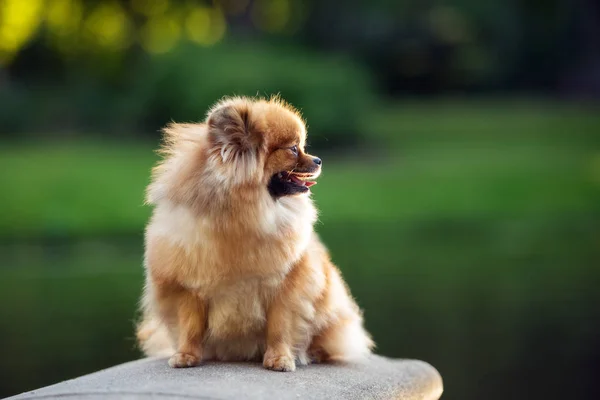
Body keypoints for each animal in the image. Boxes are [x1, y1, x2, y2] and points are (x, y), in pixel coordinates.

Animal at [136, 95, 376, 370]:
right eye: (293, 149)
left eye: (301, 146)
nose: (318, 160)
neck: (240, 216)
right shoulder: (187, 287)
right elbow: (190, 325)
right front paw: (186, 355)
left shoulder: (286, 287)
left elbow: (279, 327)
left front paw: (280, 358)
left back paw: (313, 353)